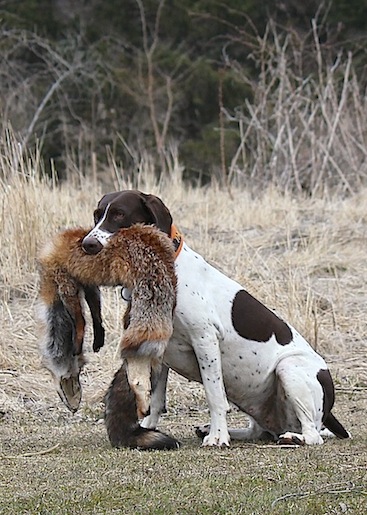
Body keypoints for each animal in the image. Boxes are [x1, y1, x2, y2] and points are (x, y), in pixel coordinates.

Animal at [37, 224, 180, 450]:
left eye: (72, 383)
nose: (74, 406)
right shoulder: (85, 284)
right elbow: (94, 311)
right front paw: (98, 338)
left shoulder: (63, 279)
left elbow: (79, 320)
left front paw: (78, 342)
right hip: (153, 349)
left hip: (139, 333)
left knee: (137, 379)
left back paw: (143, 408)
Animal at [81, 190, 350, 448]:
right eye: (96, 215)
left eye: (119, 214)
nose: (88, 244)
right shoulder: (158, 347)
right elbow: (155, 399)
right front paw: (147, 430)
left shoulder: (205, 340)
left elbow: (214, 396)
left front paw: (218, 436)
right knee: (259, 432)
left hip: (288, 367)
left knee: (313, 435)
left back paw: (293, 438)